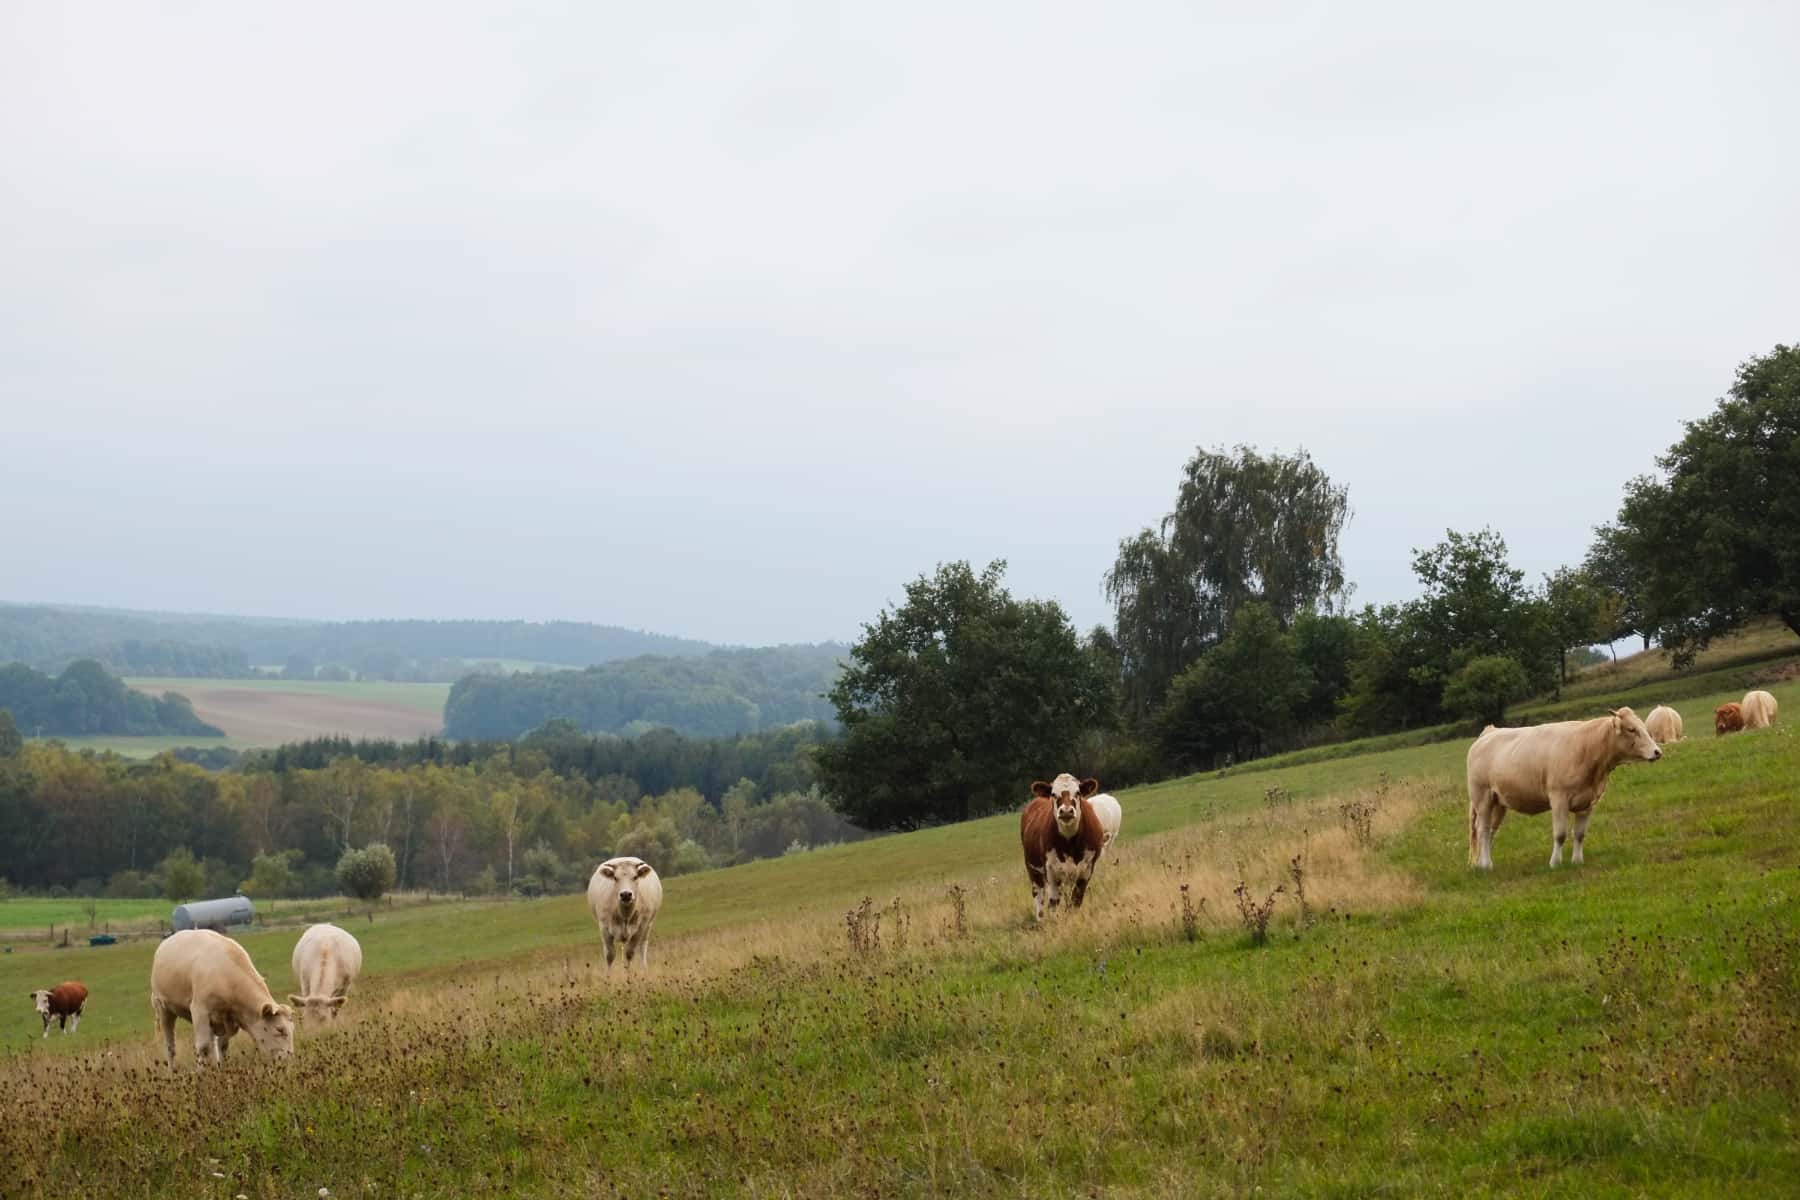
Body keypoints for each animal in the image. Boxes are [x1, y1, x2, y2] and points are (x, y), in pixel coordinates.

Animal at [151, 928, 295, 1072]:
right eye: (279, 1030)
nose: (288, 1060)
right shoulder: (200, 1011)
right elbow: (203, 1046)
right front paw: (201, 1072)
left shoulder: (230, 1019)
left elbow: (222, 1045)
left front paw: (222, 1068)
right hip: (163, 1008)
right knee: (170, 1046)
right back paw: (171, 1071)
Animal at [1022, 773, 1101, 928]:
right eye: (1053, 794)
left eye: (1078, 792)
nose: (1066, 811)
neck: (1069, 841)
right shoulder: (1052, 872)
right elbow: (1053, 903)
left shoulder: (1087, 870)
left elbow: (1076, 901)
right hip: (1033, 869)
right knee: (1039, 895)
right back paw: (1040, 920)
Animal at [1468, 708, 1663, 867]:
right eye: (1631, 729)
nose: (1657, 752)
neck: (1586, 747)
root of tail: (1490, 731)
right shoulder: (1558, 798)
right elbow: (1560, 834)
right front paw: (1555, 862)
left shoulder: (1588, 802)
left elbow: (1579, 834)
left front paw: (1577, 861)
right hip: (1482, 798)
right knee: (1482, 829)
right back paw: (1486, 865)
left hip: (1499, 803)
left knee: (1490, 831)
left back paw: (1482, 863)